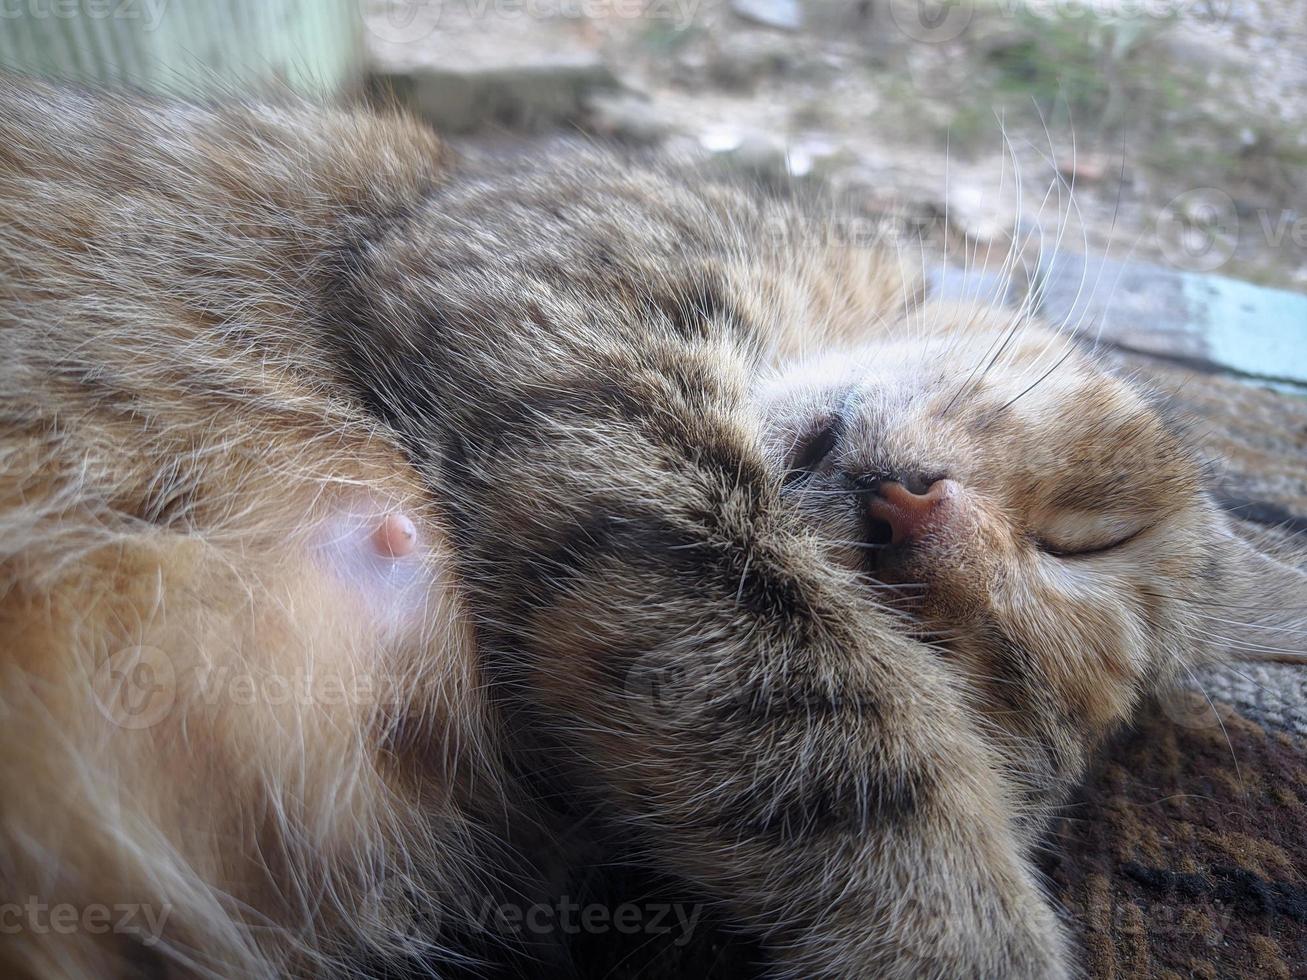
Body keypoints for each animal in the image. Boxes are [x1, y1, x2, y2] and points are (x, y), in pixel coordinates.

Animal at [0, 76, 1286, 980]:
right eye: (1086, 540)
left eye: (977, 665)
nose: (909, 520)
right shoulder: (578, 341)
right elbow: (855, 739)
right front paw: (962, 931)